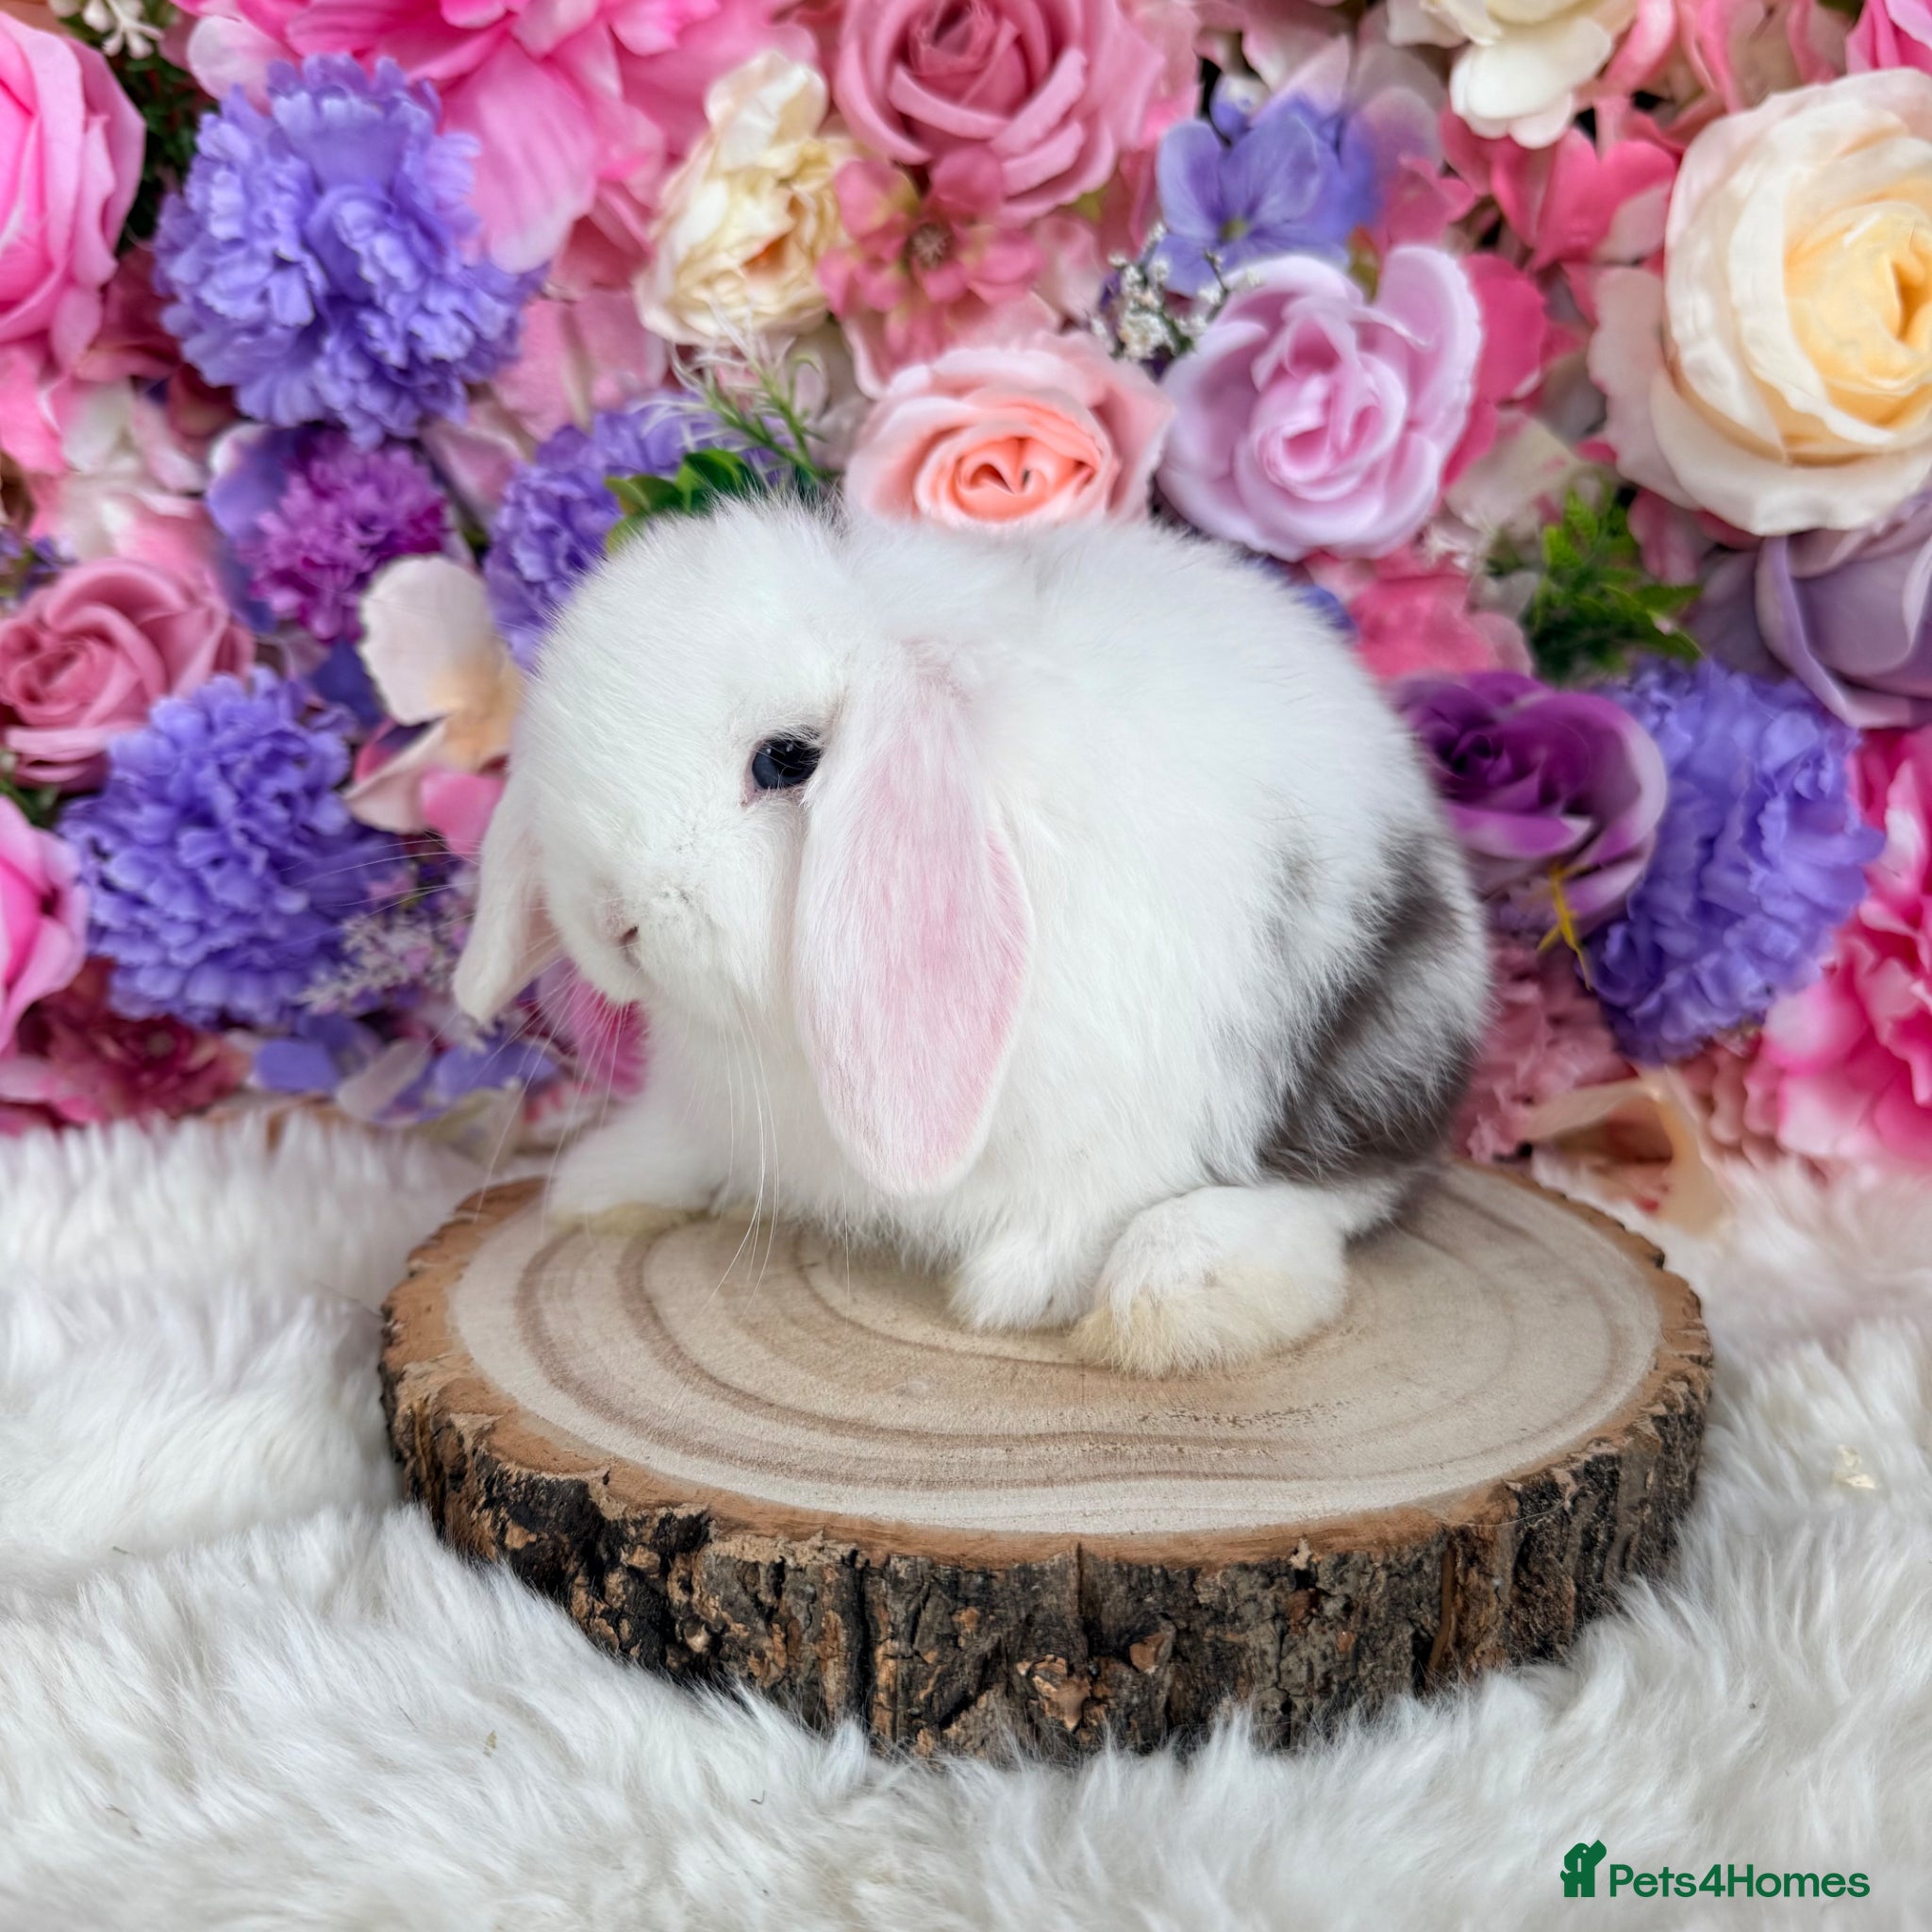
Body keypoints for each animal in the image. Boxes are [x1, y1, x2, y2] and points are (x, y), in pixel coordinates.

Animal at [454, 499, 1491, 1375]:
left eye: (785, 760)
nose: (612, 919)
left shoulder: (1115, 1115)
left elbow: (1084, 1205)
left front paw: (1022, 1287)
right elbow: (687, 1141)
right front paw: (603, 1183)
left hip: (1358, 1064)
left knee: (1336, 1196)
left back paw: (1176, 1286)